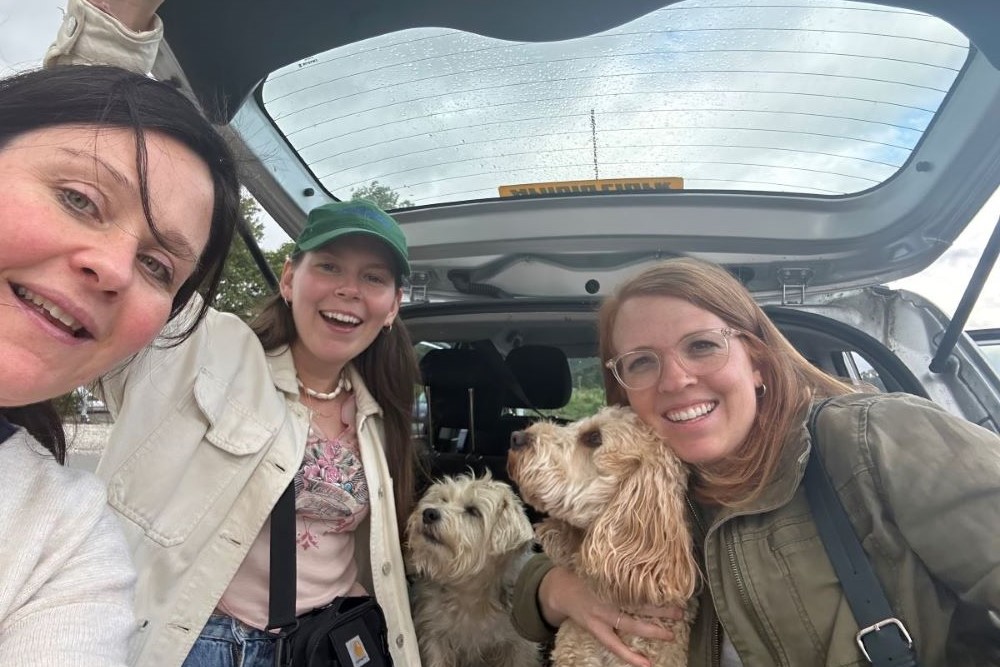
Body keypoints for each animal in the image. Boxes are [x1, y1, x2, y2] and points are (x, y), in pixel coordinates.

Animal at [402, 474, 540, 667]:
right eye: (443, 500)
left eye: (473, 511)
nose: (429, 513)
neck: (469, 592)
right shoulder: (434, 637)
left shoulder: (518, 646)